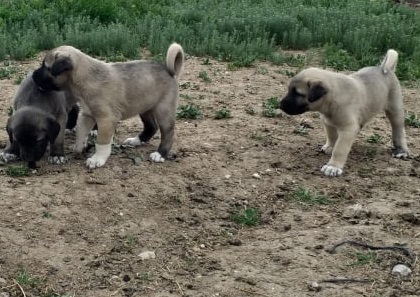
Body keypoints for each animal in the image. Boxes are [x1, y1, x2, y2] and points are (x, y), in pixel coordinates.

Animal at [32, 42, 184, 168]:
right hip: (145, 107)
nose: (33, 75)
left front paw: (97, 159)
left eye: (46, 67)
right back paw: (136, 140)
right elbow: (81, 132)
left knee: (168, 132)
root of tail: (169, 71)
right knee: (151, 126)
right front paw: (80, 147)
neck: (85, 78)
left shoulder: (106, 119)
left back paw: (160, 154)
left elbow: (102, 142)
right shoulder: (87, 115)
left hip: (163, 110)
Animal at [278, 49, 410, 176]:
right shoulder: (328, 122)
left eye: (297, 93)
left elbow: (340, 148)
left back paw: (401, 151)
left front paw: (333, 166)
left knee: (398, 130)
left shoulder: (348, 128)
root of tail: (385, 68)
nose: (280, 105)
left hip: (395, 110)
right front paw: (330, 146)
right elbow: (331, 136)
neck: (332, 98)